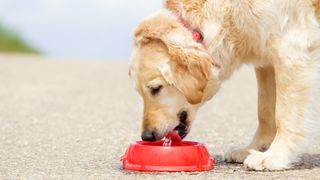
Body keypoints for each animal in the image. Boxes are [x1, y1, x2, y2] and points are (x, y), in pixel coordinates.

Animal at [129, 0, 320, 171]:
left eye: (156, 89)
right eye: (140, 93)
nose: (147, 136)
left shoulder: (290, 50)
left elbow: (283, 115)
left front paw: (274, 156)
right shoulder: (265, 62)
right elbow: (265, 111)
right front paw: (254, 148)